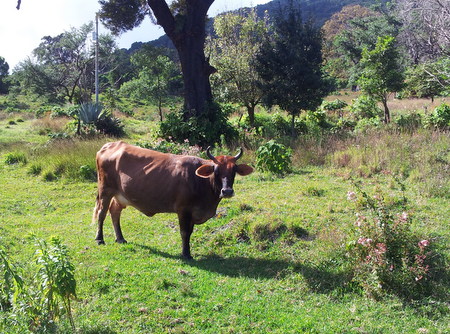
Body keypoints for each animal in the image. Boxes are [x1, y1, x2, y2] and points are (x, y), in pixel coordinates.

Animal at [93, 140, 253, 258]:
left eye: (234, 170)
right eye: (216, 170)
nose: (227, 191)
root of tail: (109, 145)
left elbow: (190, 232)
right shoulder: (183, 210)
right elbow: (184, 232)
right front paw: (186, 254)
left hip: (120, 195)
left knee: (115, 212)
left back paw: (120, 238)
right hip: (105, 190)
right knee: (102, 212)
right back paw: (100, 239)